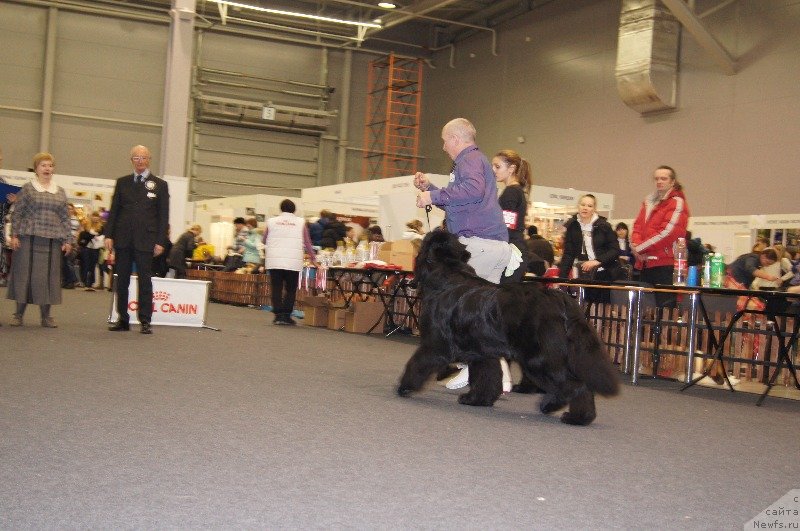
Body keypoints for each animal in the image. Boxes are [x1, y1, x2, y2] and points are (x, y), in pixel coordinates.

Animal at [398, 231, 620, 426]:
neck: (447, 275)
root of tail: (558, 298)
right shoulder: (483, 353)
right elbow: (487, 377)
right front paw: (476, 400)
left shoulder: (436, 344)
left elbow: (417, 363)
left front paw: (404, 387)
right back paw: (582, 416)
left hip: (539, 358)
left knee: (573, 385)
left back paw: (561, 411)